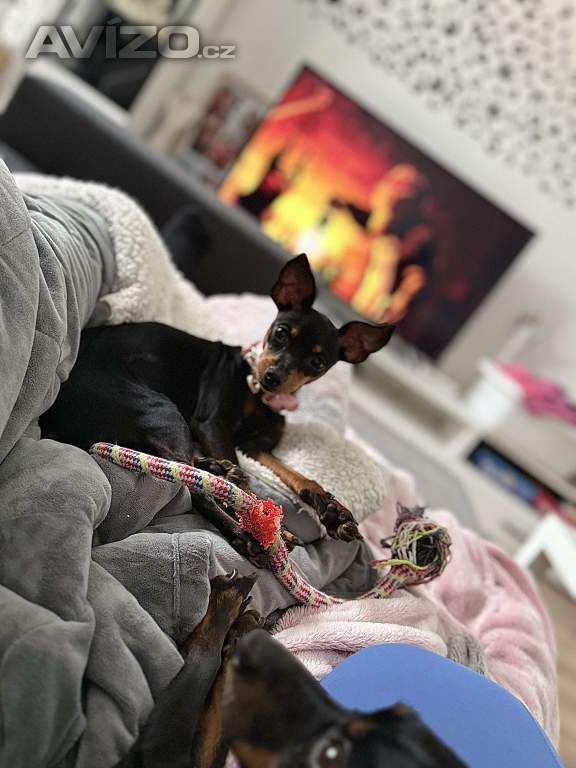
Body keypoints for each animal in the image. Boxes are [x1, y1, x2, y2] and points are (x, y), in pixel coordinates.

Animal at [40, 254, 395, 559]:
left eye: (317, 361)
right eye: (281, 333)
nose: (272, 377)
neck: (259, 397)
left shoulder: (256, 447)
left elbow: (301, 478)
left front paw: (334, 512)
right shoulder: (213, 425)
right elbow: (245, 487)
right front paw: (264, 525)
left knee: (180, 465)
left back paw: (218, 469)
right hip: (163, 412)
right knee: (192, 486)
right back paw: (244, 532)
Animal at [117, 572, 466, 768]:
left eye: (330, 756)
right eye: (394, 711)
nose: (261, 644)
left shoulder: (156, 752)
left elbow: (205, 665)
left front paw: (226, 607)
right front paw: (240, 627)